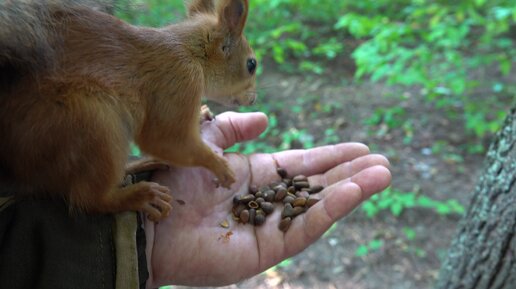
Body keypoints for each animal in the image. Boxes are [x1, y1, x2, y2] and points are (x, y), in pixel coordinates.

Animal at [0, 0, 258, 220]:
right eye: (251, 64)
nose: (254, 98)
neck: (191, 51)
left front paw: (202, 114)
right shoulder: (179, 80)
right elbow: (164, 139)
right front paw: (219, 166)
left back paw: (141, 164)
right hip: (93, 120)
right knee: (89, 199)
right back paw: (140, 196)